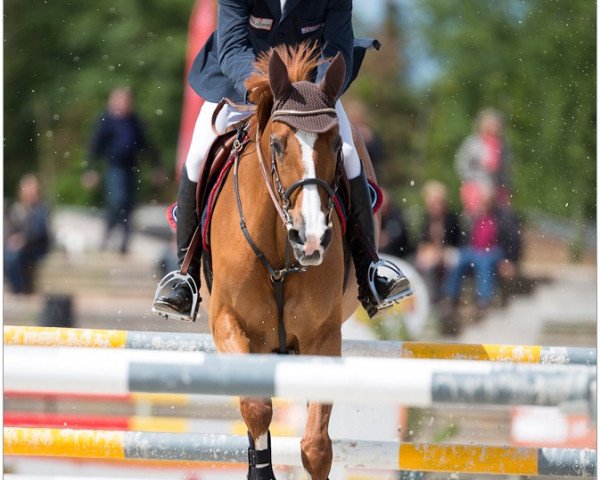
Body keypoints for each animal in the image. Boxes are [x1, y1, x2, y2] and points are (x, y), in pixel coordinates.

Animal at [202, 43, 380, 478]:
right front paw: (260, 468)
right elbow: (255, 409)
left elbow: (316, 446)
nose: (311, 237)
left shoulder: (322, 338)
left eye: (335, 145)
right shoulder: (229, 323)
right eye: (279, 144)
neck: (280, 252)